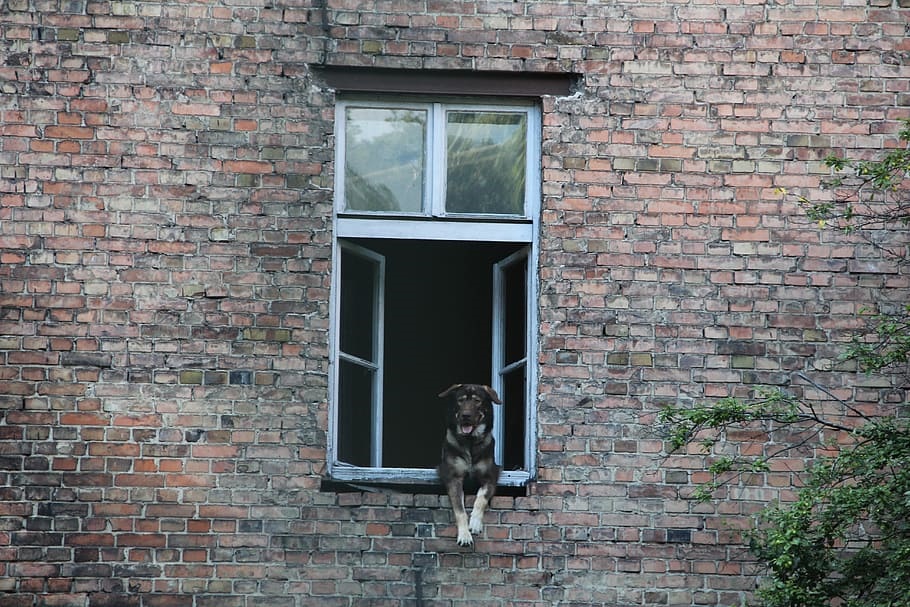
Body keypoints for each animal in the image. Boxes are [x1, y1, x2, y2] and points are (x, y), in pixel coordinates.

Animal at [438, 388, 502, 548]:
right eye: (460, 400)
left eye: (477, 400)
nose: (465, 415)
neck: (470, 441)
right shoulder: (454, 479)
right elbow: (460, 510)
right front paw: (465, 535)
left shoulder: (490, 478)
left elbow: (481, 499)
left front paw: (474, 523)